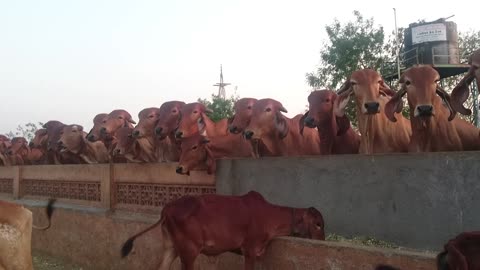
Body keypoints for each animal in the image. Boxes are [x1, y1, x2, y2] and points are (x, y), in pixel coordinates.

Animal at [121, 190, 326, 270]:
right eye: (318, 224)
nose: (323, 239)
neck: (269, 216)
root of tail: (167, 208)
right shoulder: (249, 250)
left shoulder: (259, 253)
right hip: (189, 251)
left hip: (171, 248)